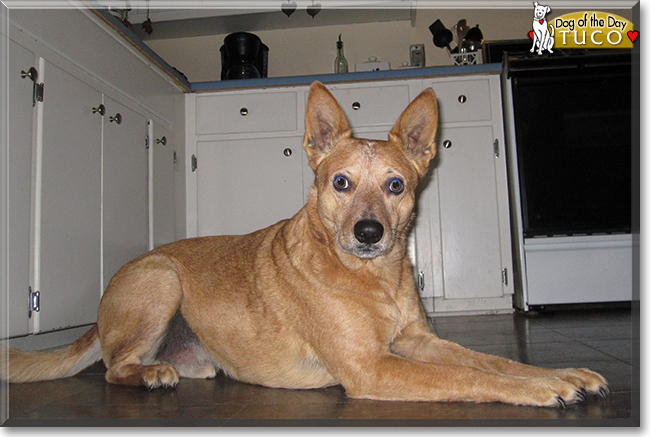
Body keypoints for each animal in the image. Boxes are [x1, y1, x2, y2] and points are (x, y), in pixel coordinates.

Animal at [0, 79, 608, 406]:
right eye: (340, 182)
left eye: (396, 185)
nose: (369, 233)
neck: (373, 278)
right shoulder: (371, 366)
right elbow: (467, 377)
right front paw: (543, 391)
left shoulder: (418, 342)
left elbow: (494, 361)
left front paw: (563, 375)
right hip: (162, 279)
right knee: (112, 367)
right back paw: (149, 374)